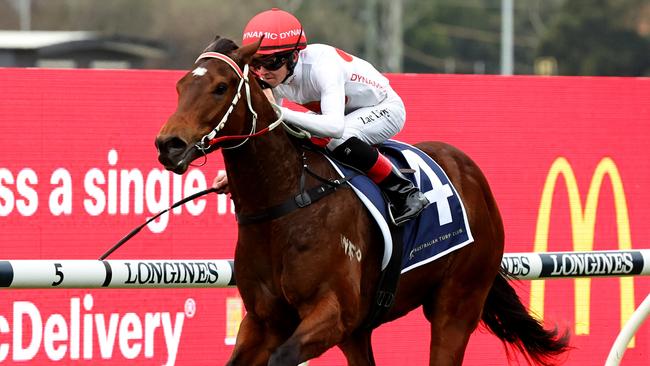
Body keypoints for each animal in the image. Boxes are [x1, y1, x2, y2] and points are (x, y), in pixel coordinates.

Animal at [153, 38, 568, 366]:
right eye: (179, 85)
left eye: (221, 87)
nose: (168, 144)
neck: (286, 201)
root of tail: (469, 171)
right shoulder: (265, 320)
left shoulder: (332, 312)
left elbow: (283, 356)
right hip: (361, 331)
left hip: (457, 304)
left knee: (346, 134)